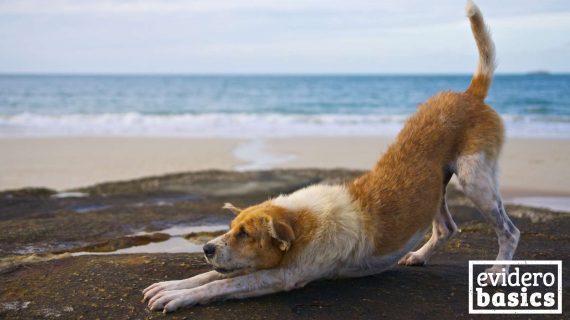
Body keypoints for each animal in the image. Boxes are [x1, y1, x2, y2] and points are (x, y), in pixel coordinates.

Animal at [143, 1, 520, 312]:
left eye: (246, 234)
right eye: (231, 228)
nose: (206, 249)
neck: (301, 222)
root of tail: (470, 94)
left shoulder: (283, 276)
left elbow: (221, 285)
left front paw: (178, 296)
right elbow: (209, 277)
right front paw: (171, 285)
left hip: (475, 179)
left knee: (509, 231)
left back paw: (498, 271)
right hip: (438, 186)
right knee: (446, 228)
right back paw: (420, 255)